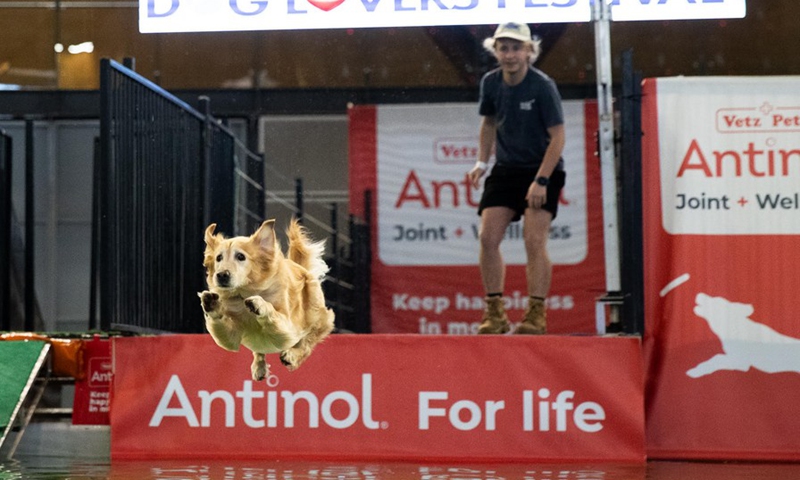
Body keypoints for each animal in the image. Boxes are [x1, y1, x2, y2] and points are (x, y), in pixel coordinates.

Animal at [202, 219, 336, 380]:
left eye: (241, 256)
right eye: (218, 258)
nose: (222, 275)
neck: (244, 293)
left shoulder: (288, 329)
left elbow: (274, 315)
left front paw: (260, 304)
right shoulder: (231, 336)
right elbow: (226, 334)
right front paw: (212, 304)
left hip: (316, 317)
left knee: (307, 343)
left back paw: (291, 357)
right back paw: (259, 367)